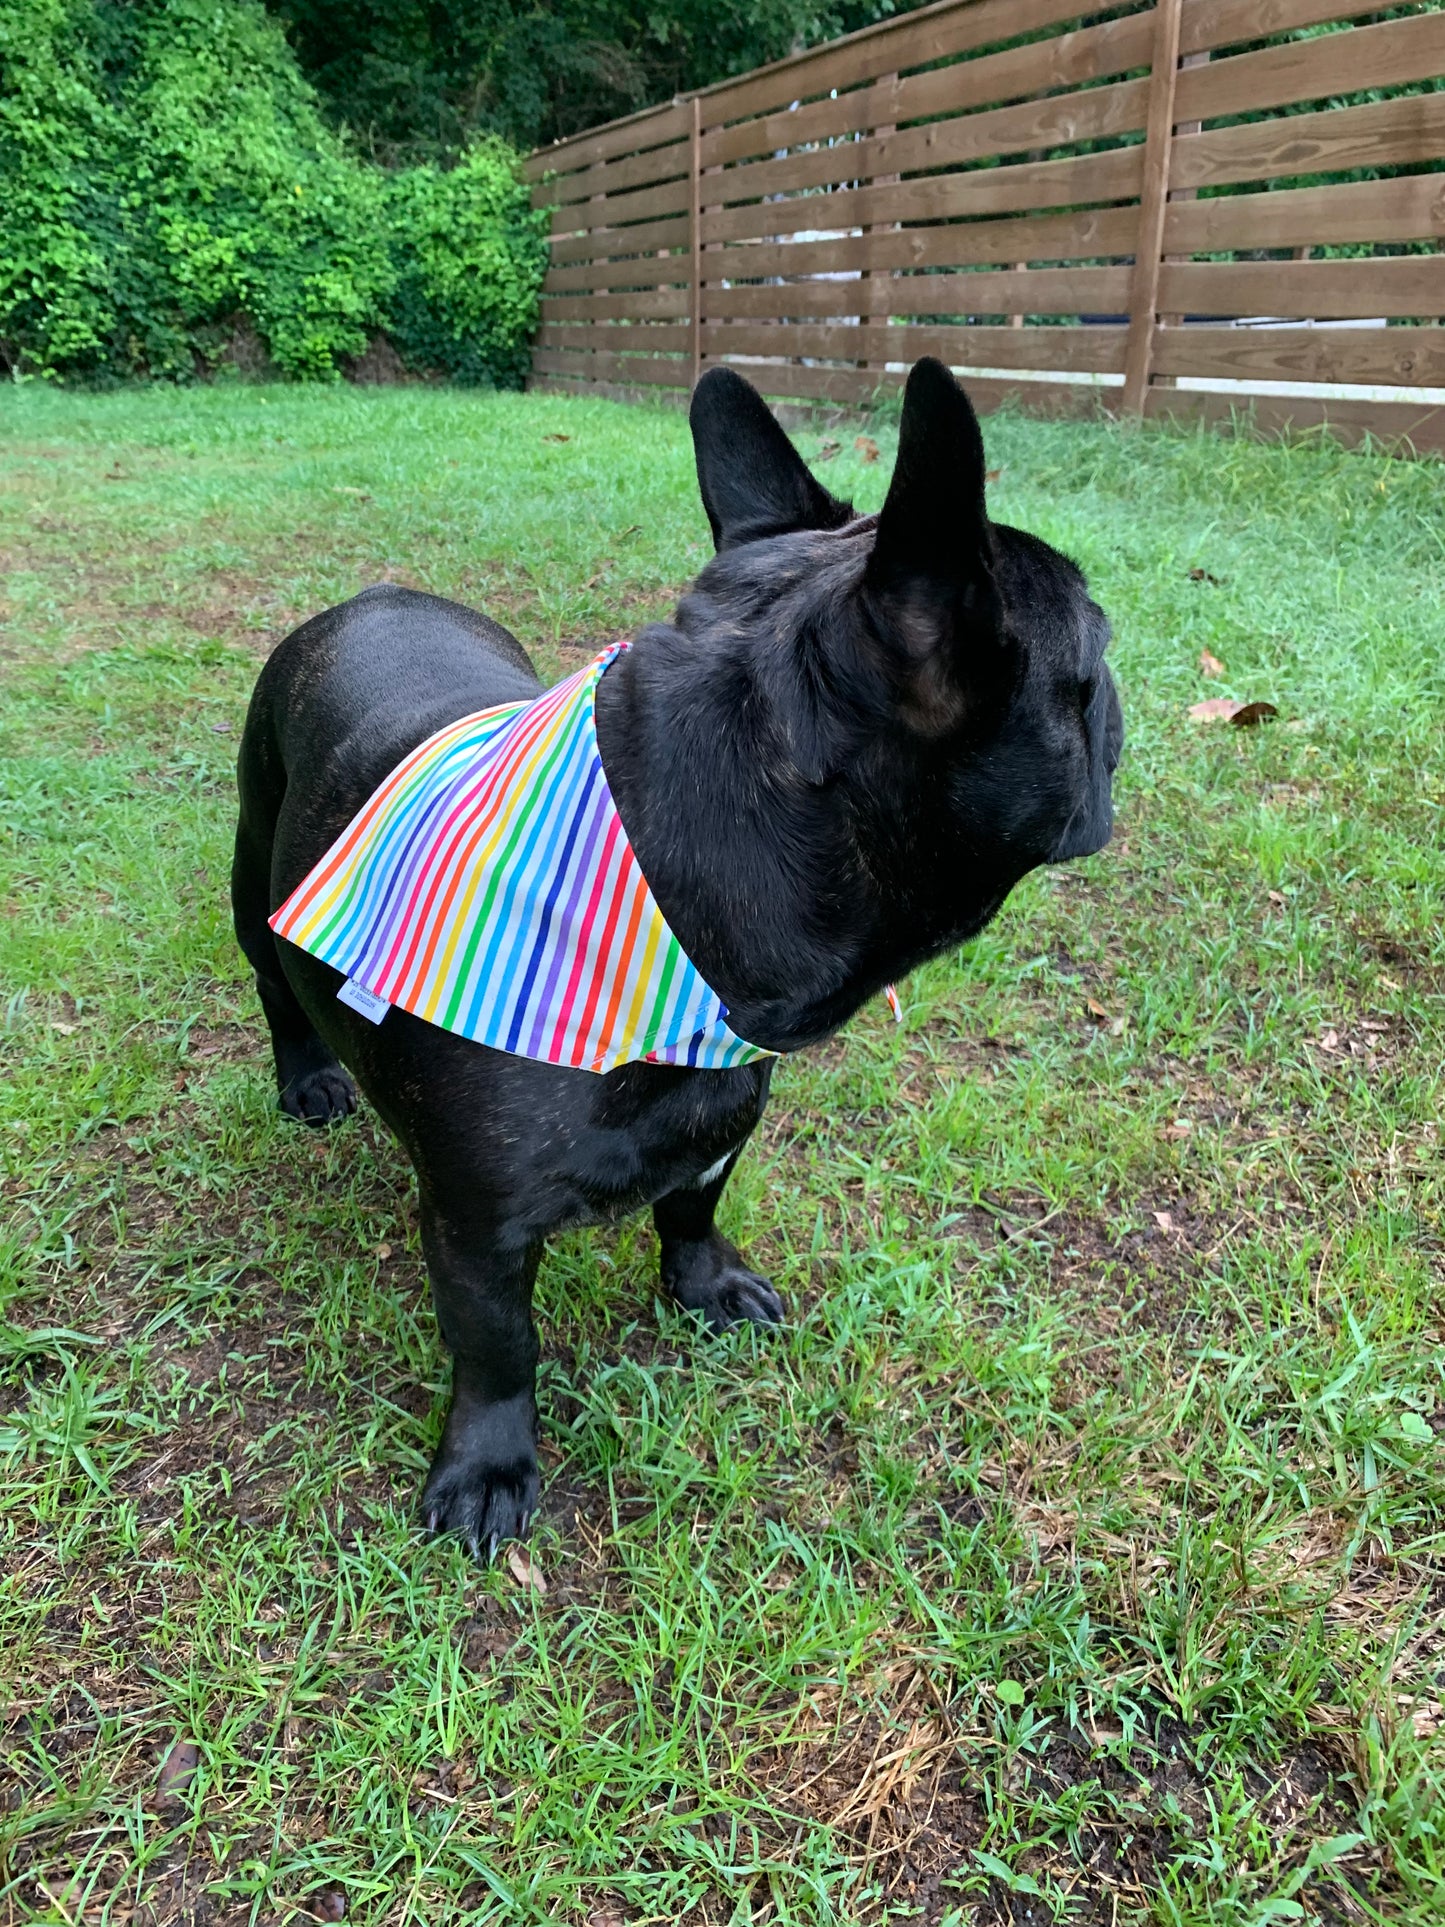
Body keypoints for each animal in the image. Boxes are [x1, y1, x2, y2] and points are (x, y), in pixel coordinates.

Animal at [232, 362, 1125, 1557]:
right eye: (1094, 658)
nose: (1119, 701)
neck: (658, 922)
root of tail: (371, 598)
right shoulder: (476, 1230)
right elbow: (497, 1347)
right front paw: (489, 1463)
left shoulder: (723, 1114)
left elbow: (692, 1209)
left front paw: (706, 1285)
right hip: (257, 869)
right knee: (274, 981)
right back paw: (309, 1077)